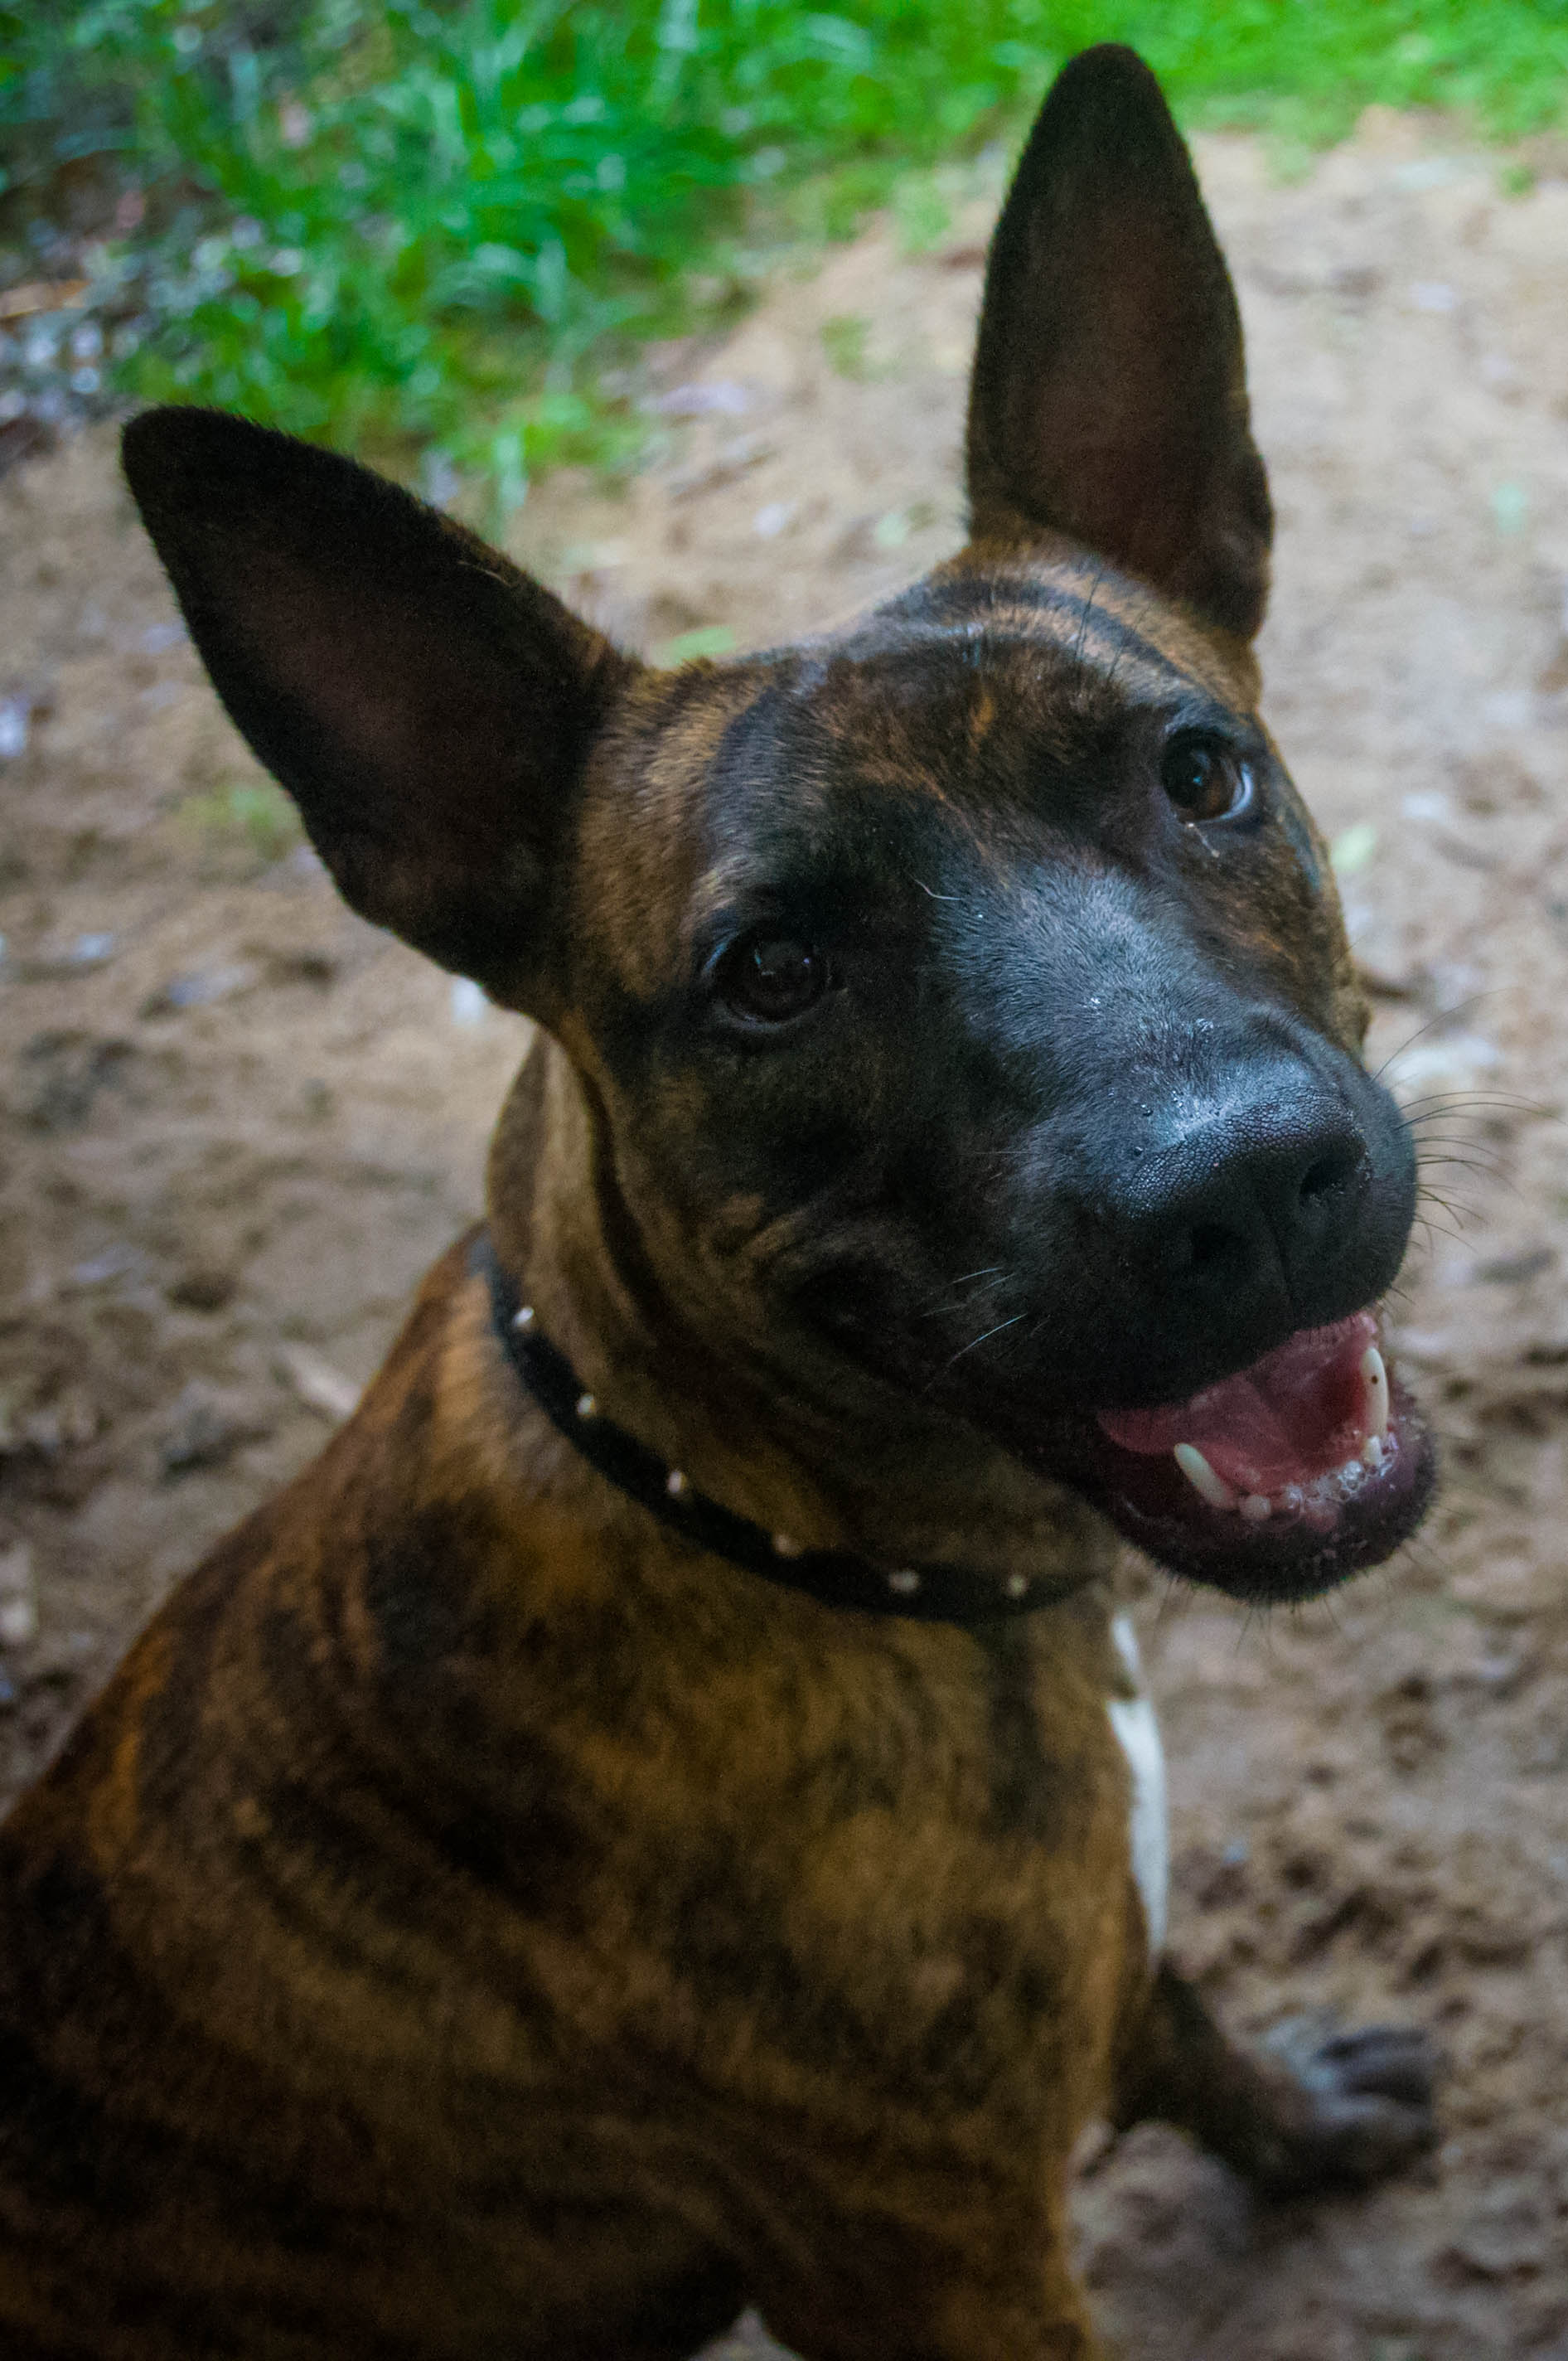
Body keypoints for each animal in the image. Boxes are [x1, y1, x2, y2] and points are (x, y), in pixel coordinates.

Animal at [0, 41, 1435, 2361]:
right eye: (771, 972)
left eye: (1198, 770)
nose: (1243, 1180)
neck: (769, 1525)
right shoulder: (939, 2252)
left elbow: (1184, 2002)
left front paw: (1292, 2109)